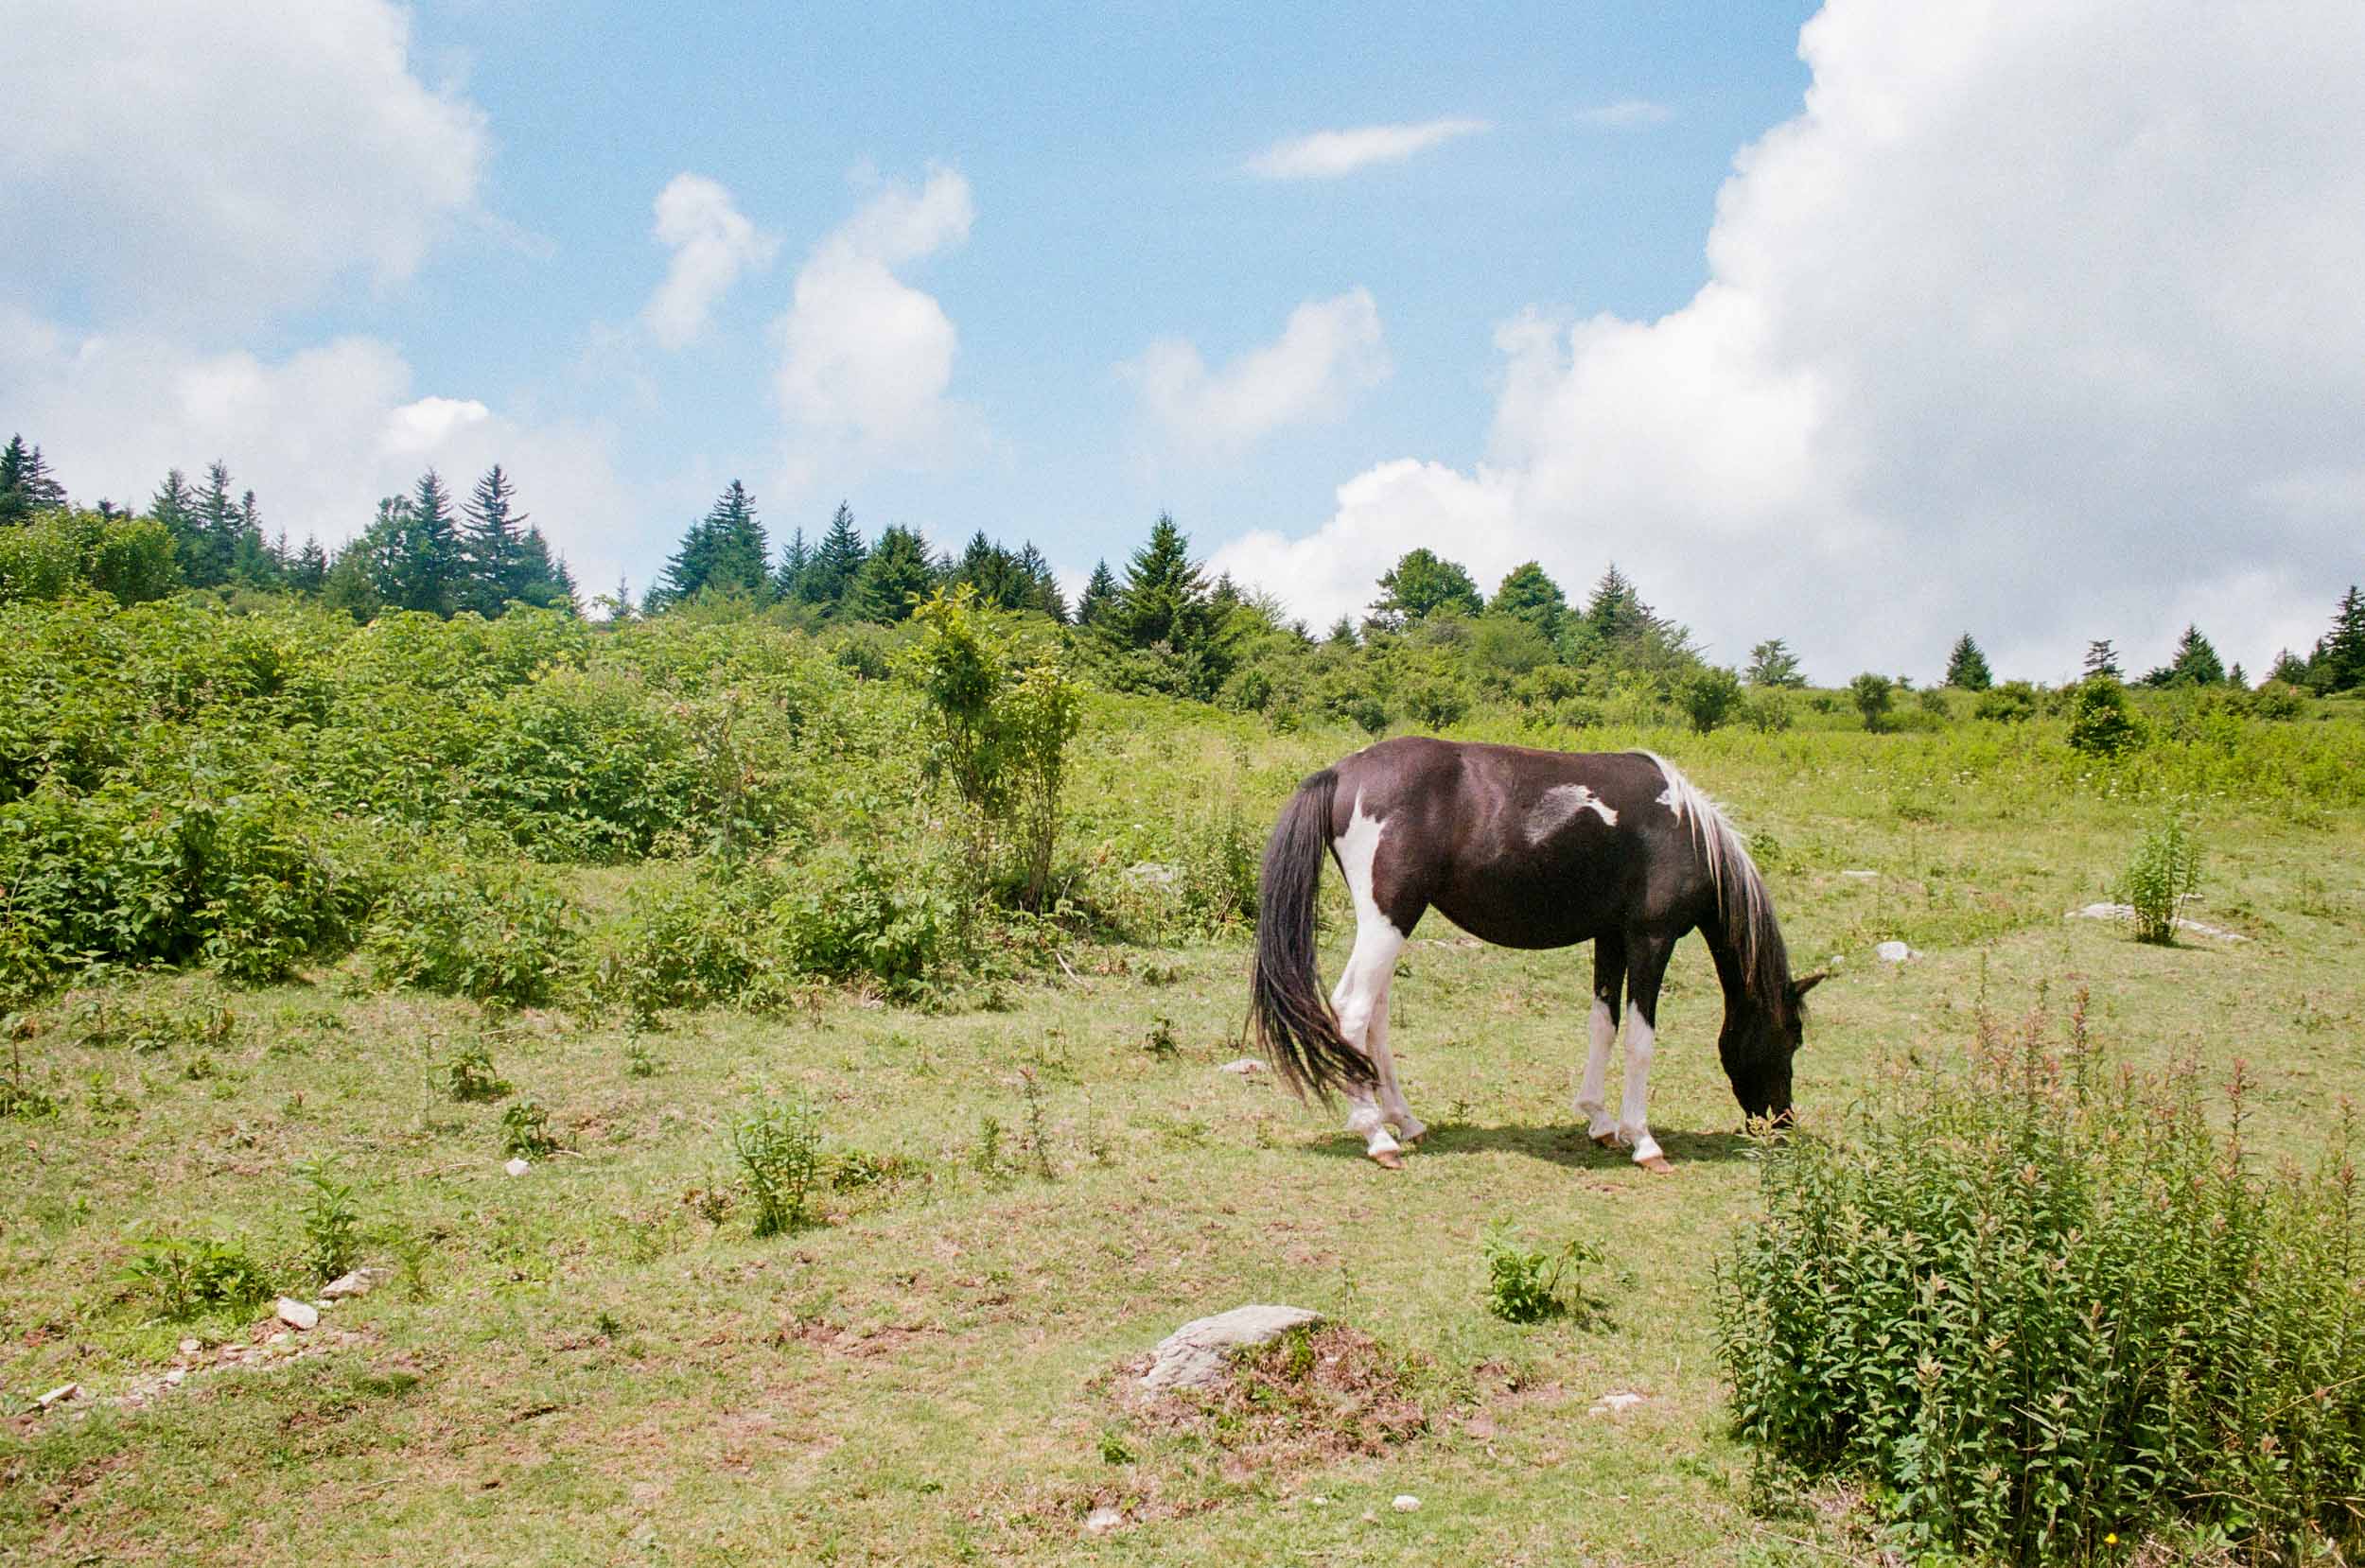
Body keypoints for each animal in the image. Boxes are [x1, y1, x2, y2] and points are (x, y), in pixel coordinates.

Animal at [1248, 736, 1822, 1172]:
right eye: (1792, 1035)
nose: (1782, 1124)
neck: (1685, 830)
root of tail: (1342, 772)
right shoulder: (1651, 939)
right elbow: (1640, 1039)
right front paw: (1642, 1140)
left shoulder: (1611, 938)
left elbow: (1603, 1025)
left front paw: (1599, 1120)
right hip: (1389, 920)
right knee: (1353, 1011)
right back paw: (1377, 1136)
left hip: (1388, 926)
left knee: (1377, 1021)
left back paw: (1405, 1121)